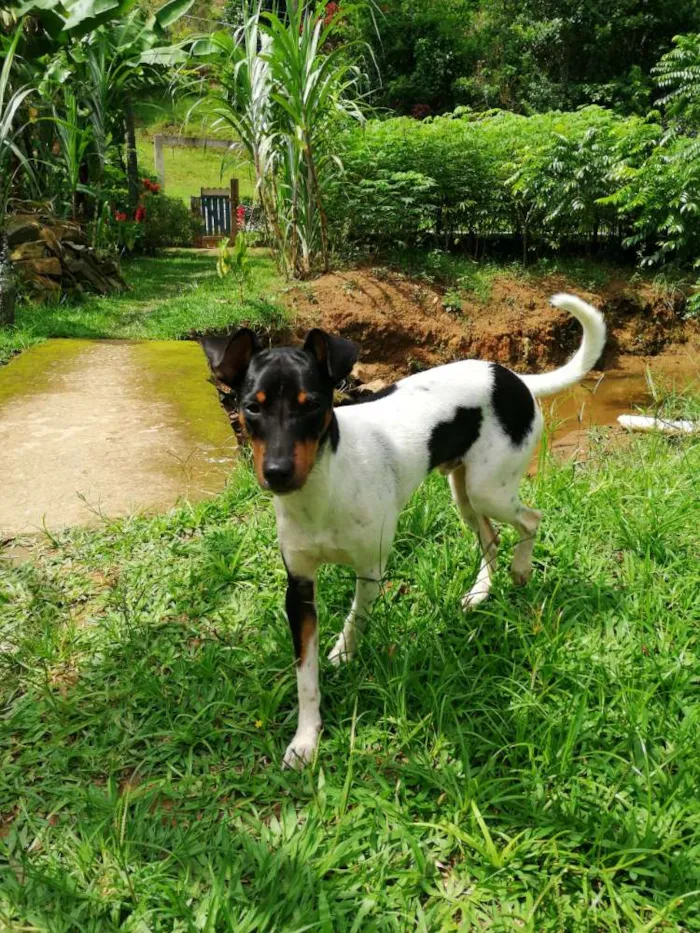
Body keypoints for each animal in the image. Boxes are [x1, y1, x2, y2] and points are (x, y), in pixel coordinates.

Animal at [200, 294, 604, 768]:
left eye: (311, 405)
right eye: (252, 407)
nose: (277, 473)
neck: (324, 489)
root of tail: (513, 376)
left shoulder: (370, 570)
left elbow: (355, 618)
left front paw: (343, 652)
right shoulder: (298, 588)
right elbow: (306, 676)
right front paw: (306, 739)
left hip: (489, 491)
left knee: (530, 520)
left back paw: (521, 570)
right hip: (463, 494)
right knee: (491, 538)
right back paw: (480, 593)